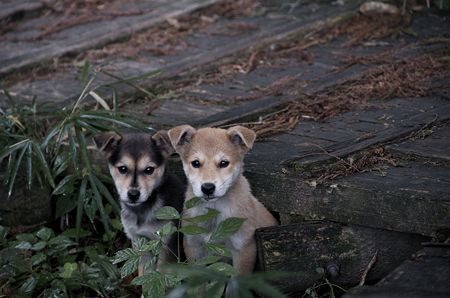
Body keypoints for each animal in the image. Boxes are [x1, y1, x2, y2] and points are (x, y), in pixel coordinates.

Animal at [167, 124, 276, 274]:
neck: (214, 210)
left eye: (224, 163)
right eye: (196, 163)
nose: (207, 188)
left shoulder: (243, 248)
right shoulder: (193, 246)